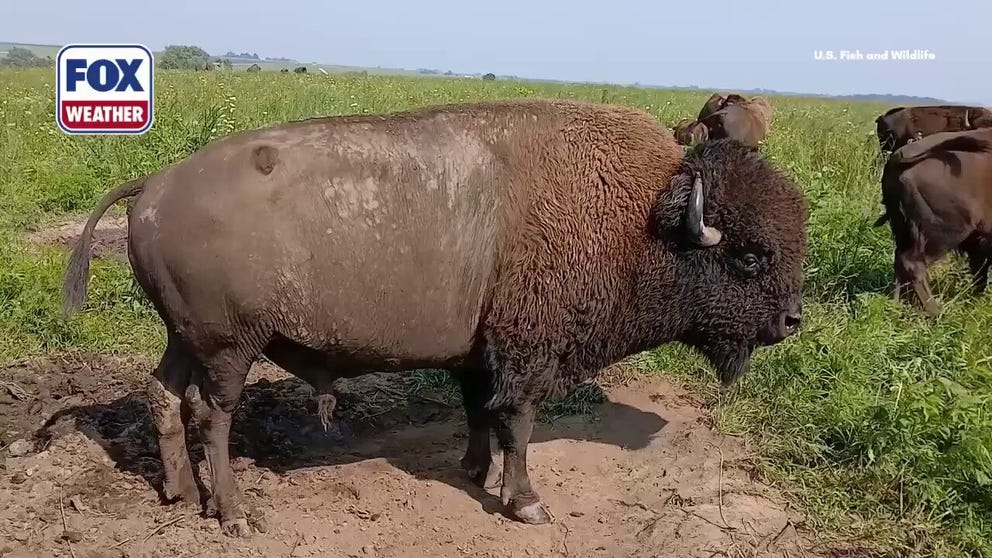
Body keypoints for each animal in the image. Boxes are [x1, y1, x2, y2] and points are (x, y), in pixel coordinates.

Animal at [61, 98, 808, 538]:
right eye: (748, 257)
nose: (792, 321)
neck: (644, 215)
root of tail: (156, 186)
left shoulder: (479, 354)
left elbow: (481, 413)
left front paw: (476, 472)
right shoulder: (525, 356)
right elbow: (518, 425)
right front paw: (526, 503)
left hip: (183, 337)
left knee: (164, 396)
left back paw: (179, 492)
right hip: (228, 348)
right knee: (212, 414)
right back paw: (234, 515)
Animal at [873, 127, 992, 315]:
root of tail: (898, 157)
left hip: (902, 228)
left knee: (899, 262)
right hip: (946, 232)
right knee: (913, 264)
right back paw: (936, 312)